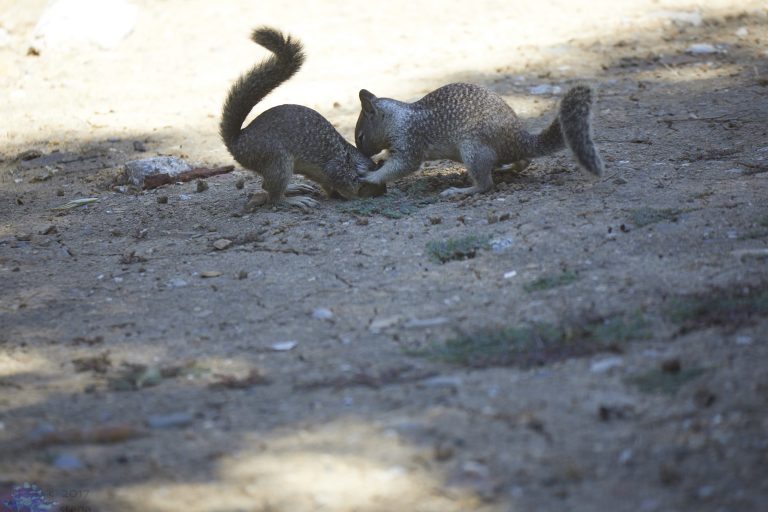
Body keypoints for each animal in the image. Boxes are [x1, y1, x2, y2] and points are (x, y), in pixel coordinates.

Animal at [220, 27, 384, 210]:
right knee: (274, 197)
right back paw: (295, 200)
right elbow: (346, 187)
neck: (351, 160)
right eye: (373, 183)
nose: (382, 193)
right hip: (278, 160)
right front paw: (355, 197)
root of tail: (236, 143)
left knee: (266, 186)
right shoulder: (338, 170)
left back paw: (294, 188)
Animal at [354, 83, 604, 196]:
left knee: (485, 186)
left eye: (361, 136)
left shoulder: (410, 141)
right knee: (524, 161)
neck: (399, 119)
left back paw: (458, 191)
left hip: (473, 150)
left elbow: (403, 165)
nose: (362, 154)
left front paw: (371, 176)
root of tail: (521, 139)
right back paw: (506, 168)